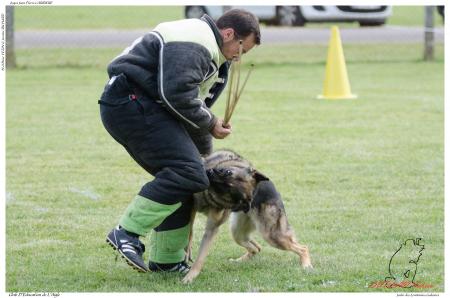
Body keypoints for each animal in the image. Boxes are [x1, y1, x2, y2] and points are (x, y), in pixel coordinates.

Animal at [181, 151, 312, 284]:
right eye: (227, 172)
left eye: (228, 190)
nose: (208, 173)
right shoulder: (191, 208)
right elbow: (189, 231)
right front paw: (187, 250)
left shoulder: (211, 229)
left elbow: (201, 257)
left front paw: (190, 276)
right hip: (238, 233)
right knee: (257, 248)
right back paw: (239, 261)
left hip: (272, 236)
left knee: (303, 248)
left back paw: (306, 264)